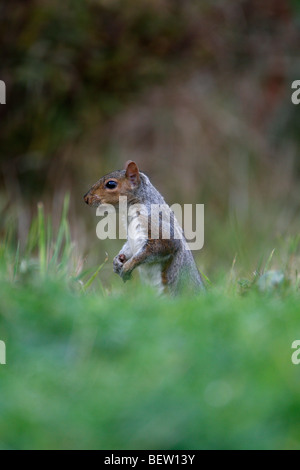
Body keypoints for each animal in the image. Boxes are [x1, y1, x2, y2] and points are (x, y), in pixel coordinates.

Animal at [84, 162, 204, 294]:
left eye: (111, 184)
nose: (86, 198)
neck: (129, 211)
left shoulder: (157, 226)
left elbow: (157, 248)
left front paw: (128, 266)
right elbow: (128, 248)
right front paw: (116, 261)